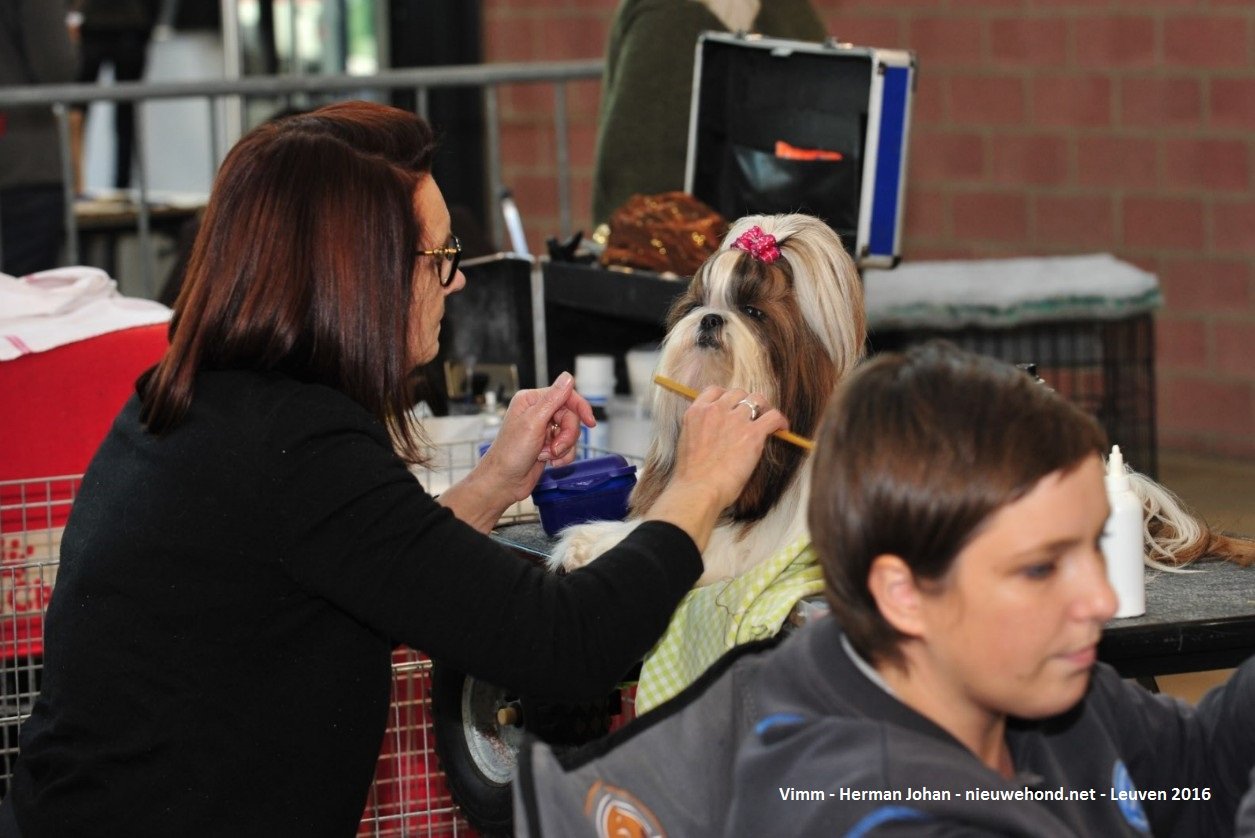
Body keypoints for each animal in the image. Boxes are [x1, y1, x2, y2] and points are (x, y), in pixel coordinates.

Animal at [554, 214, 868, 582]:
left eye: (752, 312)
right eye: (697, 305)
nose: (710, 318)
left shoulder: (748, 545)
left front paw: (594, 545)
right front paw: (588, 540)